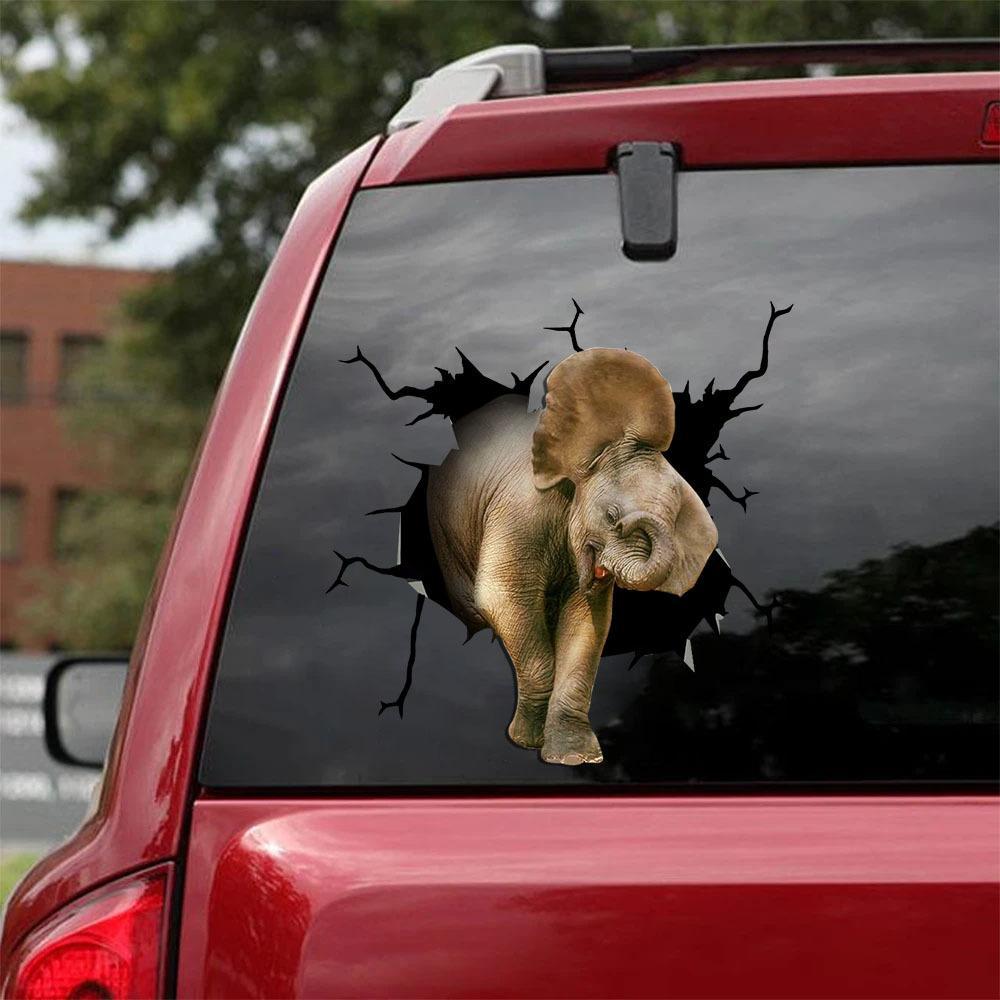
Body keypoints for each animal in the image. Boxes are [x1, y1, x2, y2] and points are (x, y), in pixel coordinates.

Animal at [426, 348, 718, 765]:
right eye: (611, 516)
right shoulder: (521, 507)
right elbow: (502, 595)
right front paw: (525, 742)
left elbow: (587, 618)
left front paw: (575, 758)